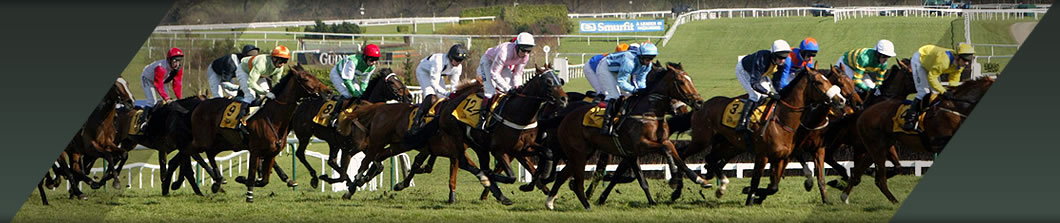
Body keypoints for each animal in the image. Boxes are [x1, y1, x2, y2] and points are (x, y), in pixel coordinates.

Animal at [184, 64, 328, 201]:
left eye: (314, 76)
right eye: (305, 79)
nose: (327, 91)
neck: (273, 116)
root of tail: (199, 106)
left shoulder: (271, 153)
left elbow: (264, 180)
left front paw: (242, 179)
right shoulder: (255, 150)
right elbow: (253, 174)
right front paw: (249, 195)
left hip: (224, 142)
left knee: (210, 153)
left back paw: (218, 181)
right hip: (203, 139)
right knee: (190, 151)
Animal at [546, 62, 703, 211]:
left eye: (690, 79)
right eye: (681, 82)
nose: (699, 102)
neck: (649, 113)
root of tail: (564, 116)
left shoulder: (637, 151)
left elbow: (673, 159)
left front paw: (699, 179)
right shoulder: (641, 145)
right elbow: (665, 151)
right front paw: (674, 179)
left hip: (583, 152)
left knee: (563, 174)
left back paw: (550, 201)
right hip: (578, 153)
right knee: (575, 178)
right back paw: (583, 201)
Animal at [839, 76, 996, 203]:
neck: (957, 108)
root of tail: (863, 112)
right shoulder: (938, 142)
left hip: (880, 147)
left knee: (859, 172)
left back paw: (845, 196)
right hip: (876, 147)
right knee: (880, 179)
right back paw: (895, 202)